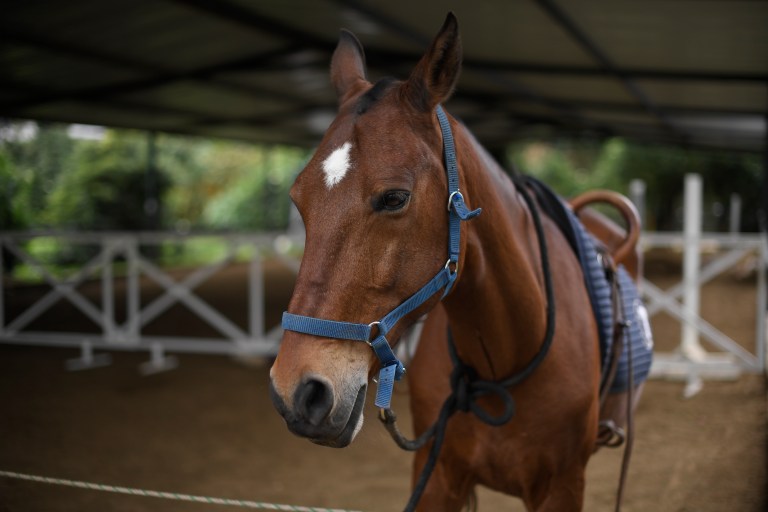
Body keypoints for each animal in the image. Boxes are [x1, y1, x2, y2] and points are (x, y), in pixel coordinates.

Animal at [269, 13, 648, 511]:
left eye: (395, 198)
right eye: (298, 199)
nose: (297, 393)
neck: (502, 363)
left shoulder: (563, 487)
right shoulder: (437, 475)